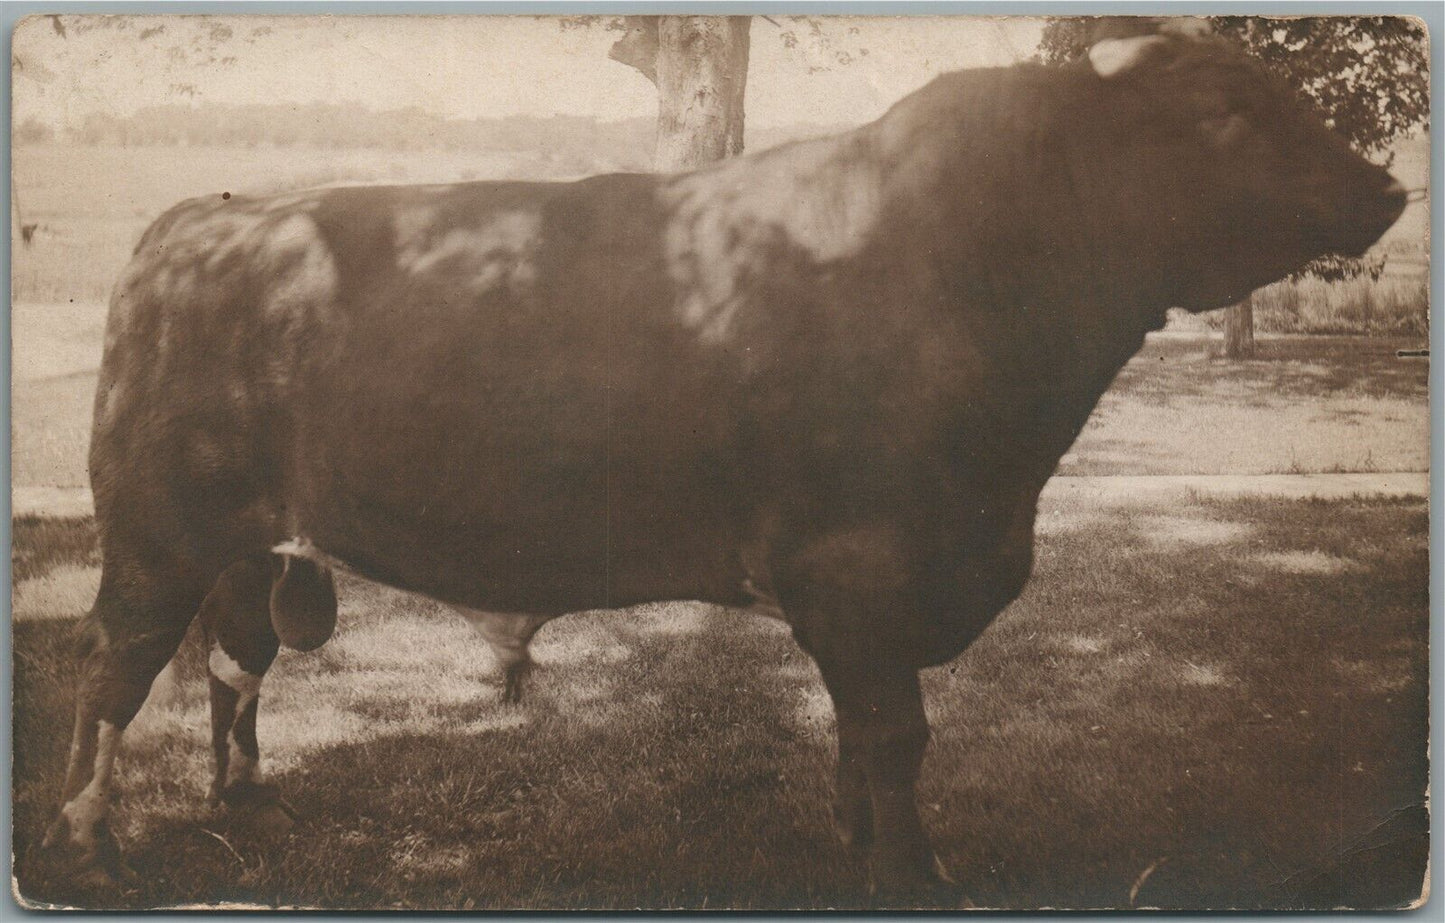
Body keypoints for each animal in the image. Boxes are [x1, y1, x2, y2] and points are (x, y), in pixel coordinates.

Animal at [45, 34, 1398, 895]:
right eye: (1221, 110)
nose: (1385, 188)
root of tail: (210, 214)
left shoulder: (878, 589)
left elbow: (859, 731)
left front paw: (856, 841)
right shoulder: (861, 565)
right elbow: (896, 731)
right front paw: (912, 873)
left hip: (247, 544)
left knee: (233, 663)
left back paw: (245, 802)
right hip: (157, 534)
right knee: (113, 674)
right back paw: (91, 846)